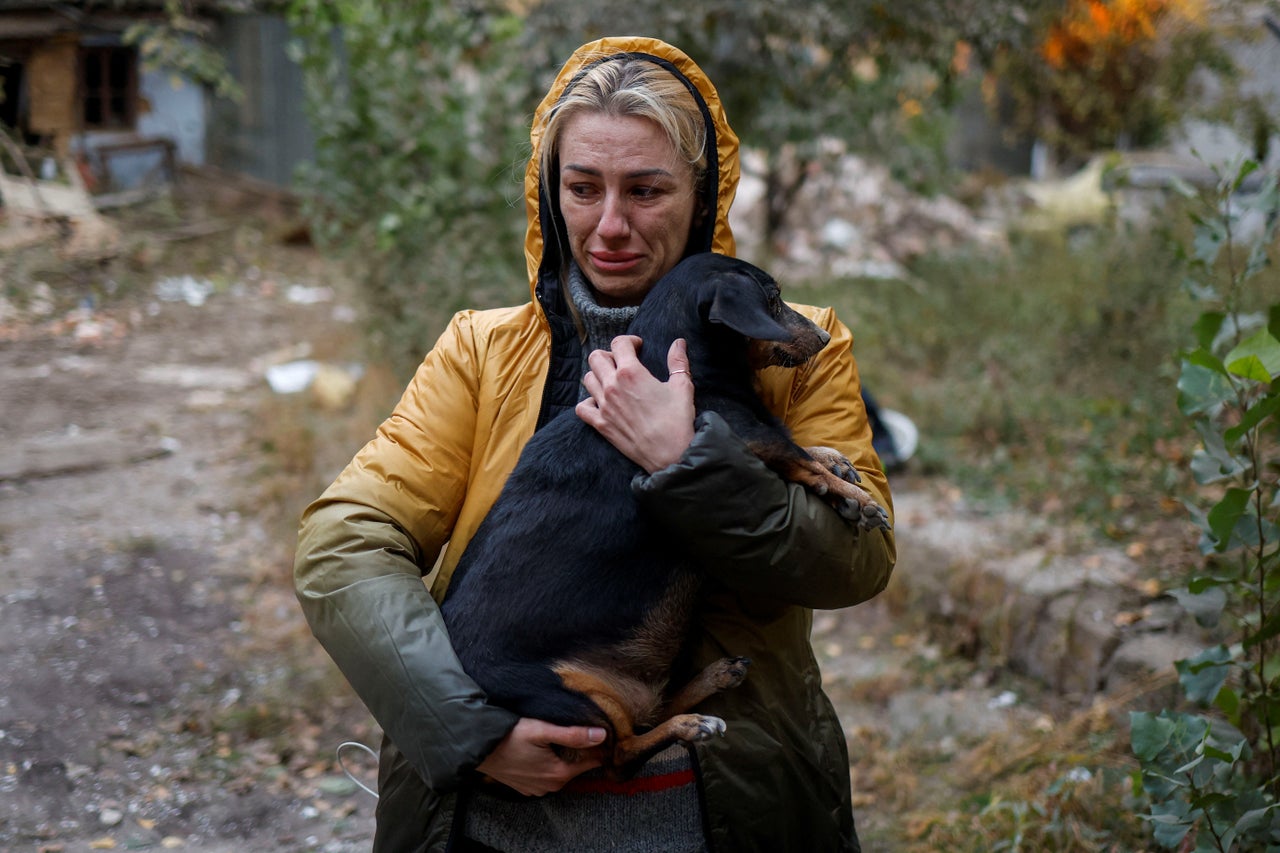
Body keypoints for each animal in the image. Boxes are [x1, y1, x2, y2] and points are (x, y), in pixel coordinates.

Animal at [440, 251, 890, 768]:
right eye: (773, 298)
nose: (823, 337)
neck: (671, 366)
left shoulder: (752, 436)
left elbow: (803, 452)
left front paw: (836, 459)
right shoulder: (742, 433)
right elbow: (798, 458)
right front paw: (857, 501)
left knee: (651, 713)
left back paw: (713, 680)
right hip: (574, 696)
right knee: (623, 750)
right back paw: (692, 725)